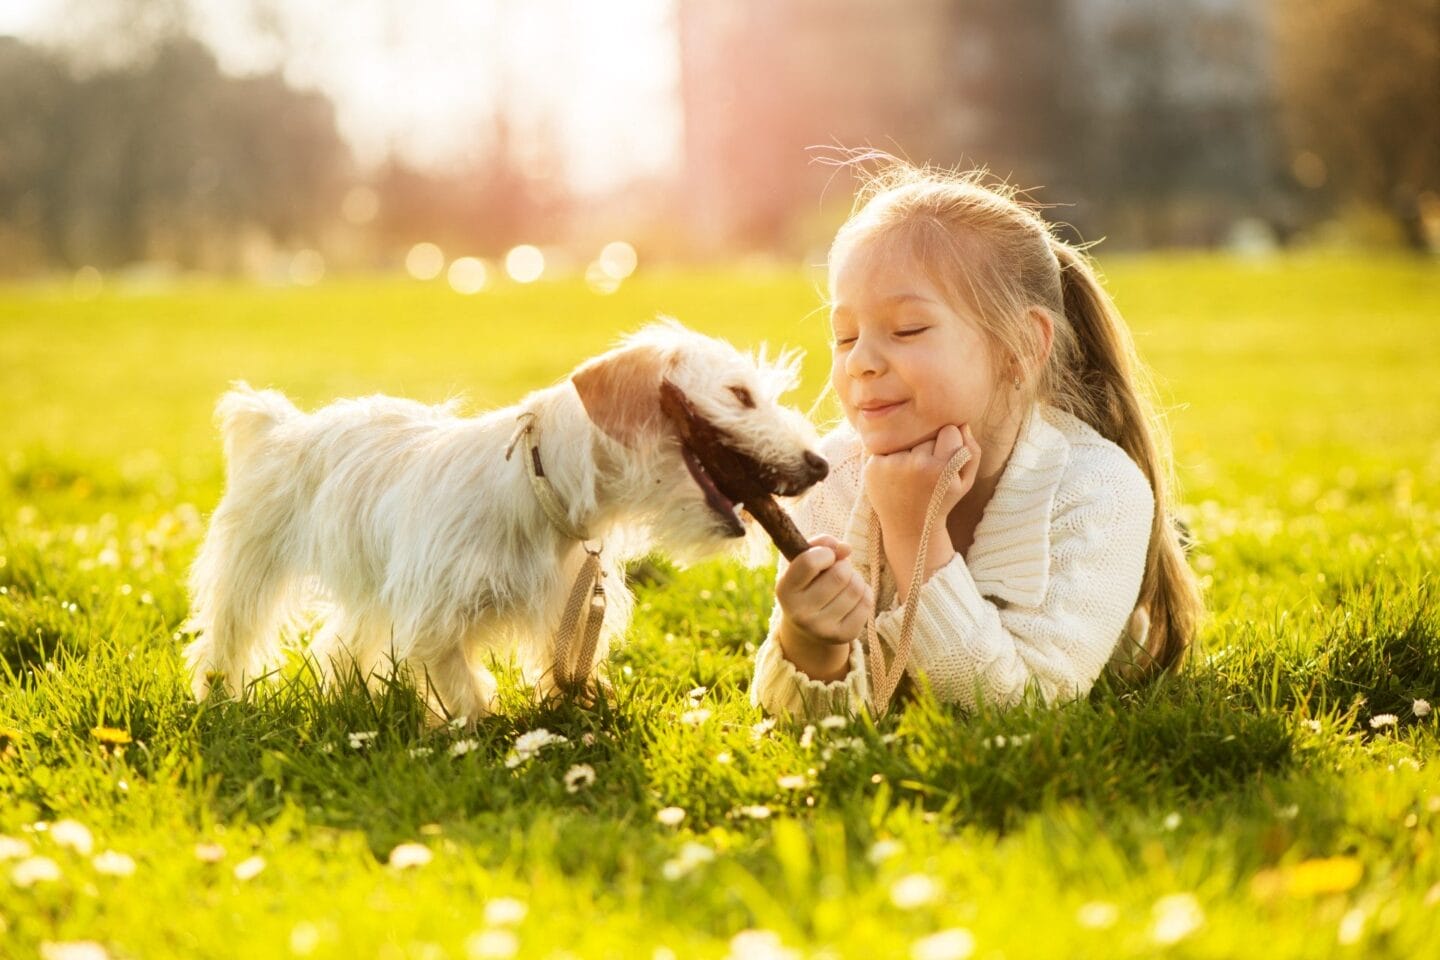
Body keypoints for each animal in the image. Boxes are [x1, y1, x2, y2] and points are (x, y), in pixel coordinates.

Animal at [185, 322, 829, 719]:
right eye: (740, 395)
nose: (820, 464)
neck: (539, 488)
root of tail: (283, 425)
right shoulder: (435, 616)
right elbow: (461, 685)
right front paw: (480, 729)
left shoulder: (565, 612)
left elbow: (562, 672)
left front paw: (580, 711)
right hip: (250, 571)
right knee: (226, 639)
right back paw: (219, 701)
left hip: (373, 589)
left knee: (338, 645)